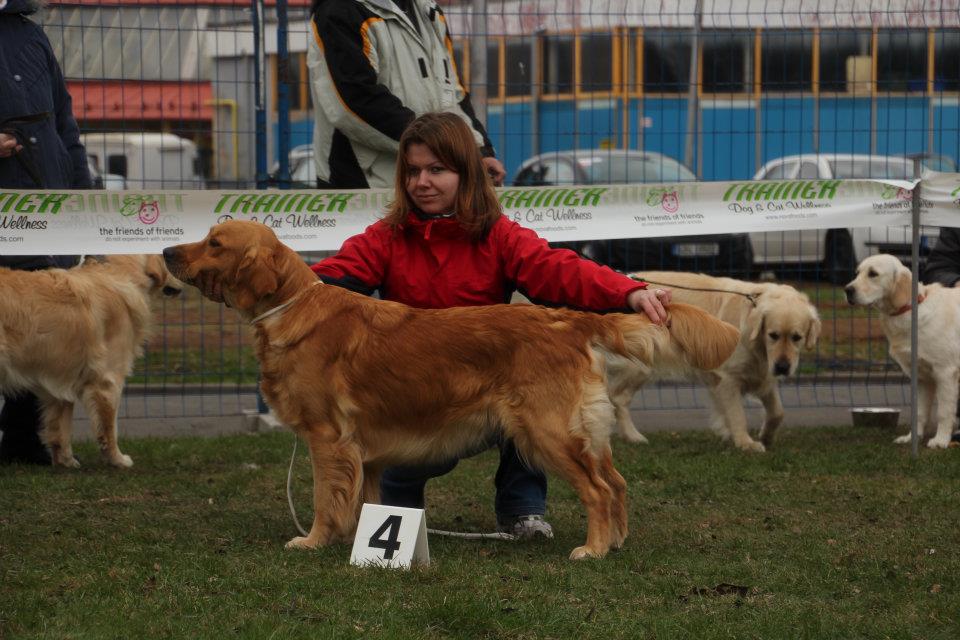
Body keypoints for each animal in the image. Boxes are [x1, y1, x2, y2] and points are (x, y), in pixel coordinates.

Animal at [0, 252, 183, 468]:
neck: (118, 273)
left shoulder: (61, 381)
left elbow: (61, 429)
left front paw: (66, 462)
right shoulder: (108, 381)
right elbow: (109, 428)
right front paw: (118, 459)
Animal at [165, 221, 740, 560]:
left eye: (214, 243)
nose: (167, 251)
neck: (289, 307)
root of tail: (566, 319)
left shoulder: (329, 438)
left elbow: (325, 498)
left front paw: (312, 540)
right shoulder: (366, 453)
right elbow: (366, 500)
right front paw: (366, 538)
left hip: (545, 432)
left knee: (598, 490)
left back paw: (593, 550)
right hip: (583, 432)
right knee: (616, 483)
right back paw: (615, 541)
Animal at [612, 272, 820, 452]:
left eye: (797, 337)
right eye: (773, 335)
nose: (783, 367)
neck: (758, 345)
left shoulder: (762, 375)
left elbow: (777, 412)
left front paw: (766, 436)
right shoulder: (729, 379)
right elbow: (737, 415)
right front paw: (745, 443)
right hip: (641, 366)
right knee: (618, 399)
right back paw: (632, 436)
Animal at [844, 252, 956, 448]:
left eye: (873, 274)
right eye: (857, 273)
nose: (847, 290)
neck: (910, 310)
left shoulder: (945, 372)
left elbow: (944, 412)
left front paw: (940, 440)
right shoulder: (922, 377)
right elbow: (919, 412)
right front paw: (912, 438)